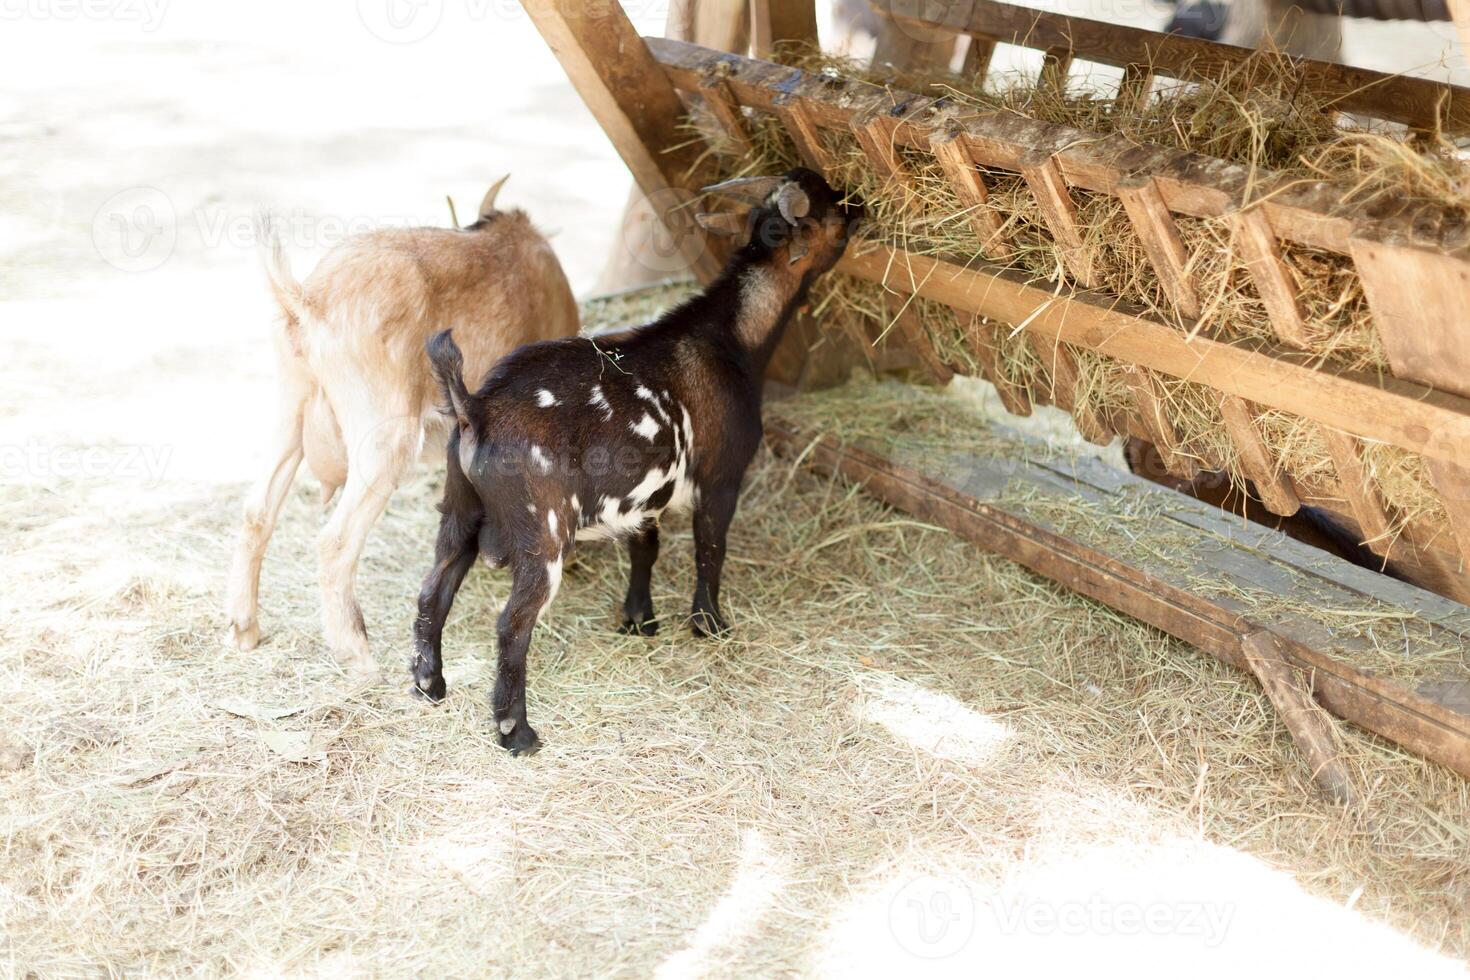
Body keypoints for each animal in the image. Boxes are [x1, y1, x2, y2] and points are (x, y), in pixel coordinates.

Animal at [223, 178, 579, 681]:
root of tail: (306, 302)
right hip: (383, 438)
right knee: (335, 541)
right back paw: (356, 653)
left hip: (290, 411)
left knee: (257, 510)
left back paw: (244, 628)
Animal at [408, 166, 858, 752]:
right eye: (830, 209)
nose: (861, 208)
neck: (732, 341)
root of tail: (474, 409)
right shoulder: (722, 477)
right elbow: (710, 549)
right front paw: (709, 624)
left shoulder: (644, 496)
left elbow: (647, 548)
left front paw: (639, 621)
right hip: (542, 533)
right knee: (513, 624)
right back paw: (517, 732)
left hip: (459, 511)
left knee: (432, 592)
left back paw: (430, 686)